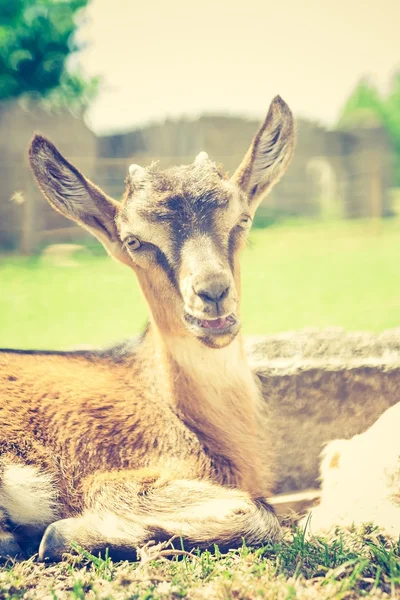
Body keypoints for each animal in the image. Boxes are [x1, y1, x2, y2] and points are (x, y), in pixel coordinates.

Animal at [0, 96, 294, 560]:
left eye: (242, 220)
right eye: (135, 241)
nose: (212, 293)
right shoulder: (116, 476)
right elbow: (258, 514)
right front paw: (65, 535)